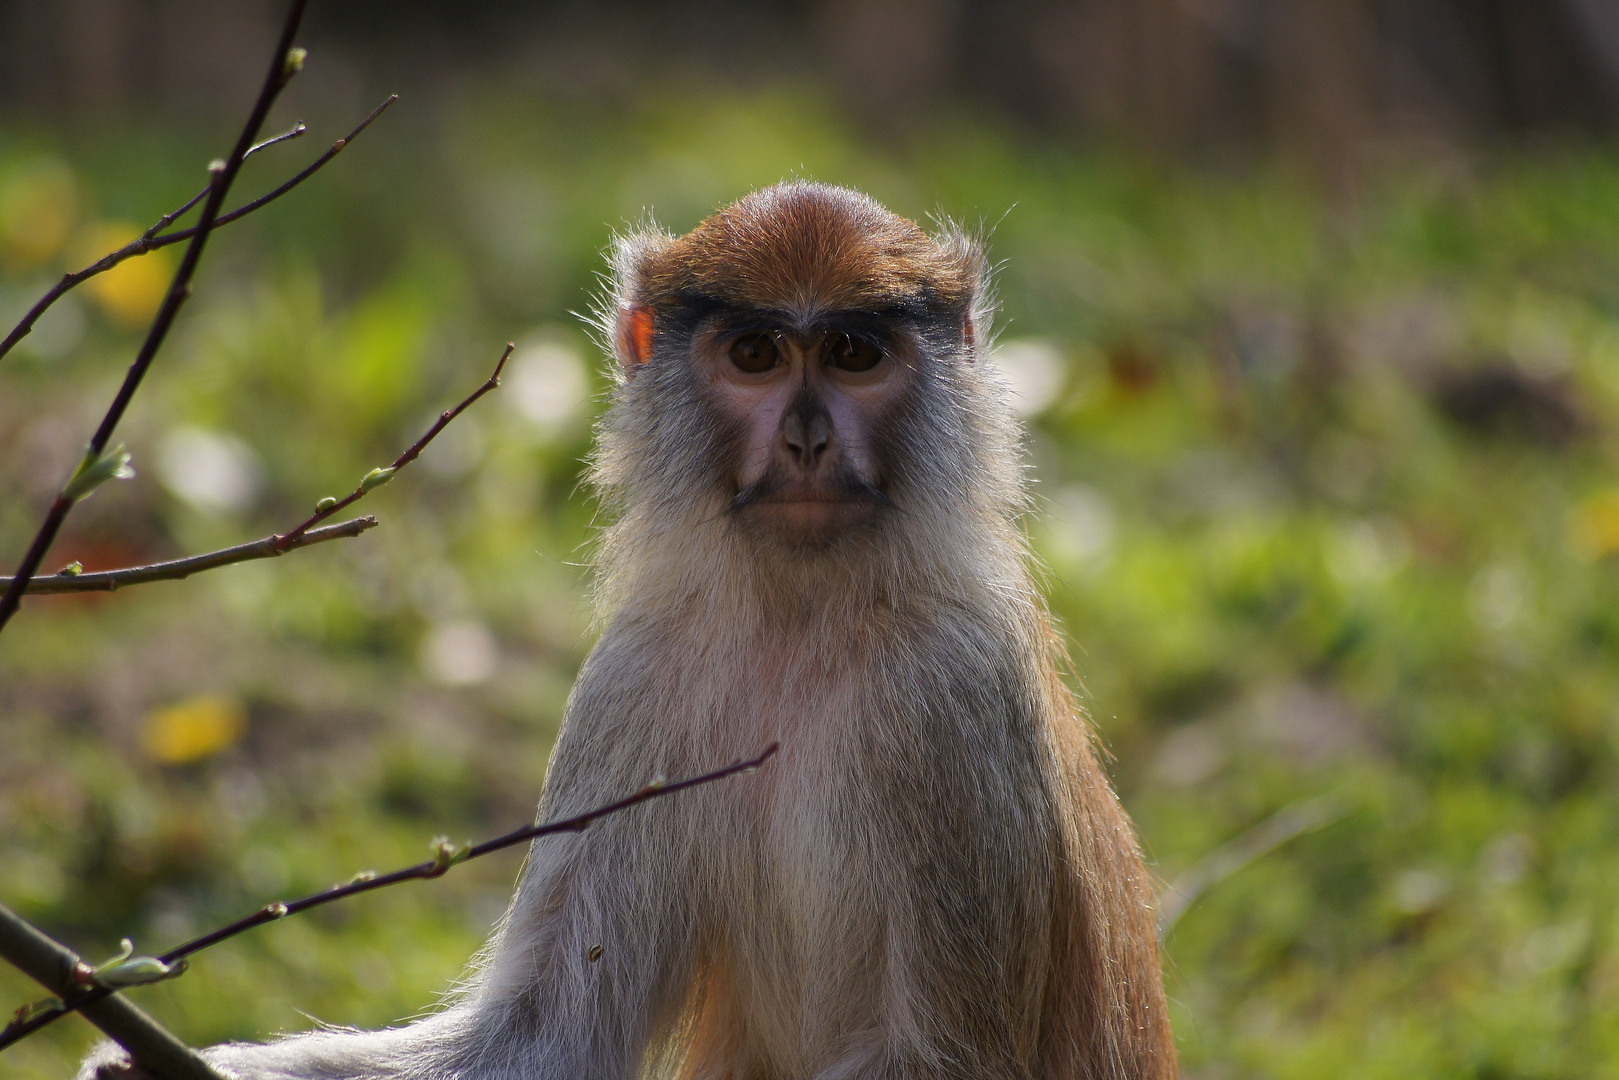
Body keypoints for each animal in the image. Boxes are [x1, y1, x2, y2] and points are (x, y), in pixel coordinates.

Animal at [85, 181, 1178, 1075]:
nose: (807, 440)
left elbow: (943, 1057)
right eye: (754, 355)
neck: (803, 615)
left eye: (855, 355)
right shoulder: (637, 673)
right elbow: (545, 1034)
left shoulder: (956, 688)